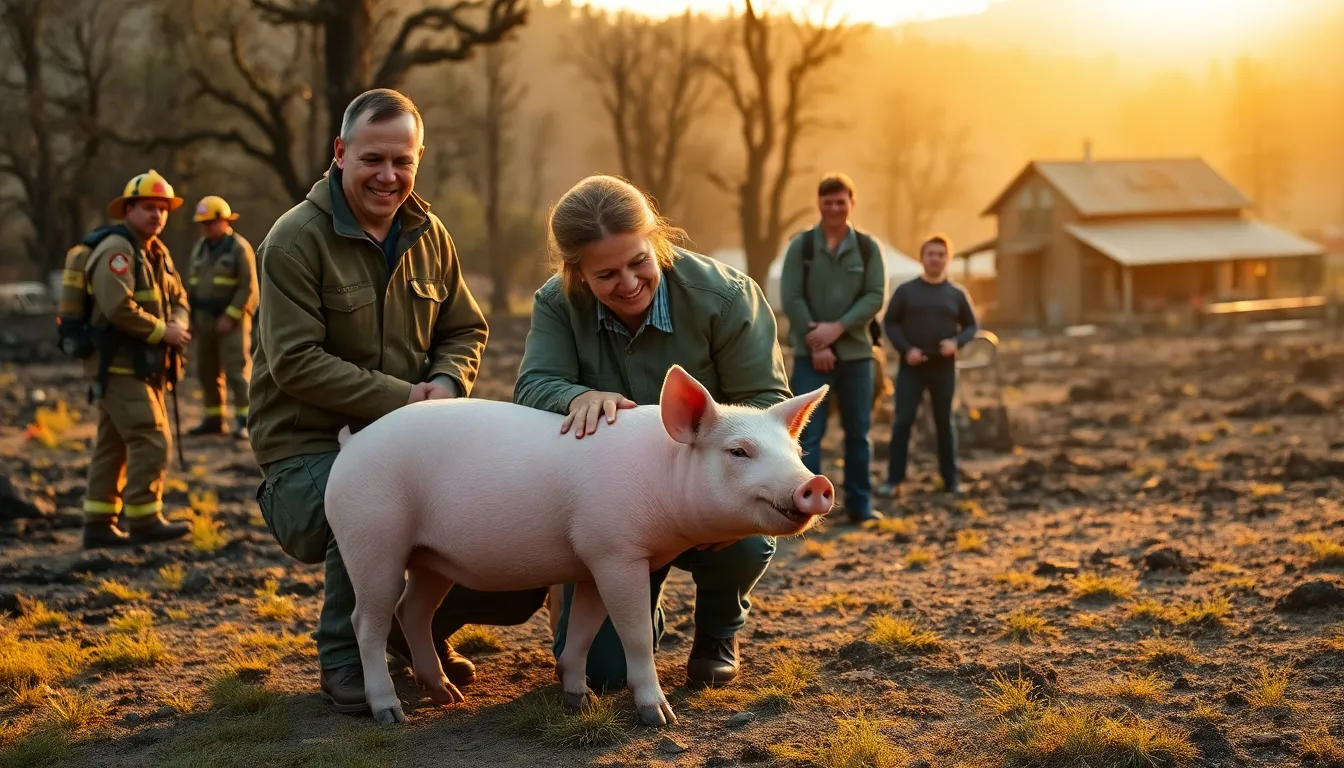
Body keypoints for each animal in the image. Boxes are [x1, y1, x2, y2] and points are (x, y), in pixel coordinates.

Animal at [323, 364, 835, 727]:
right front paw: (660, 717)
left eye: (796, 453)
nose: (817, 484)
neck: (664, 476)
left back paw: (449, 696)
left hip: (431, 558)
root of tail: (351, 445)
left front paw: (581, 700)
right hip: (371, 537)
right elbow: (633, 635)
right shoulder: (618, 552)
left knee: (413, 610)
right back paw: (390, 713)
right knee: (367, 621)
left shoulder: (592, 557)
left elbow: (587, 629)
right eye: (739, 452)